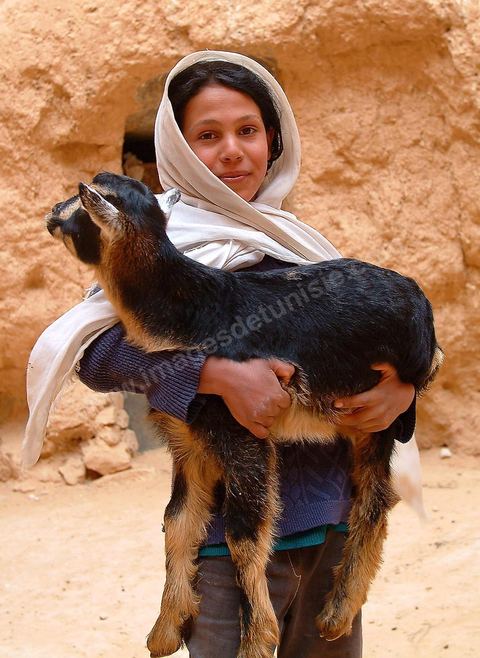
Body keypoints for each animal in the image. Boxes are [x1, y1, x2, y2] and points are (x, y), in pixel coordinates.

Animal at [47, 172, 443, 658]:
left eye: (80, 209)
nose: (51, 214)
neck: (191, 312)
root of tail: (425, 318)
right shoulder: (189, 440)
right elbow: (177, 520)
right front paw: (165, 631)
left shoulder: (241, 428)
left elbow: (243, 533)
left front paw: (256, 639)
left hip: (380, 412)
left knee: (372, 500)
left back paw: (336, 612)